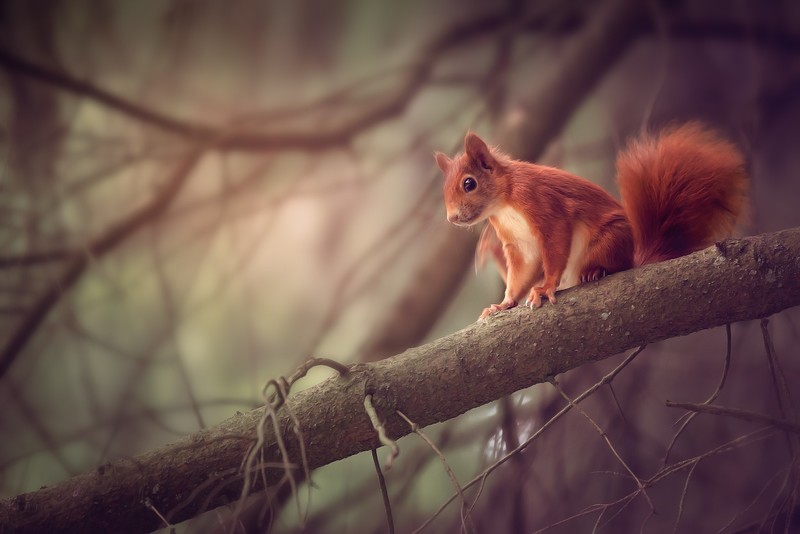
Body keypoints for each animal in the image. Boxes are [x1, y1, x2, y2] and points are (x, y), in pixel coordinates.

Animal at [434, 122, 748, 320]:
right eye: (444, 188)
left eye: (469, 183)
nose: (451, 218)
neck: (503, 204)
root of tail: (635, 256)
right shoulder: (518, 244)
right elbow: (522, 271)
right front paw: (504, 304)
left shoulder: (544, 206)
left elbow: (555, 245)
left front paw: (545, 288)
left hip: (609, 240)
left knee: (616, 264)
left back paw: (596, 271)